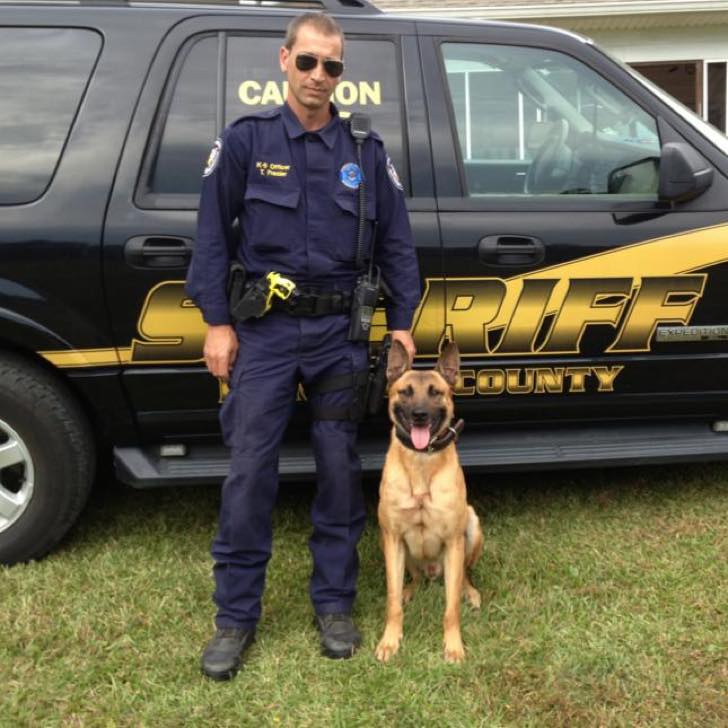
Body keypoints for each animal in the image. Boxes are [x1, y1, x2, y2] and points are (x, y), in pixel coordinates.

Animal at [376, 338, 484, 664]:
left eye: (436, 392)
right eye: (406, 392)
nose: (420, 415)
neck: (421, 463)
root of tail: (433, 572)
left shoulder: (453, 540)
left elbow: (451, 608)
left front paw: (453, 645)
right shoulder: (393, 537)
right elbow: (392, 601)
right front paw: (390, 640)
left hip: (471, 528)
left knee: (463, 576)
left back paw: (469, 592)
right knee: (410, 579)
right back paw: (410, 589)